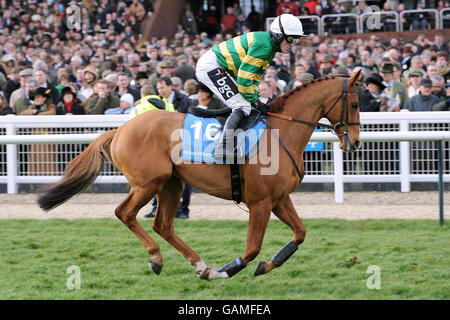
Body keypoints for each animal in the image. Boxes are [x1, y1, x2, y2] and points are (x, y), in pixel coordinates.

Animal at [37, 69, 362, 278]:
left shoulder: (279, 199)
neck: (281, 131)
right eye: (355, 103)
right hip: (148, 183)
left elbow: (300, 233)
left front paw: (268, 265)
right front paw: (227, 270)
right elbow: (252, 248)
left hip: (172, 184)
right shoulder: (260, 202)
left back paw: (198, 263)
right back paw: (158, 258)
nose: (355, 142)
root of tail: (121, 129)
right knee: (125, 213)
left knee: (163, 224)